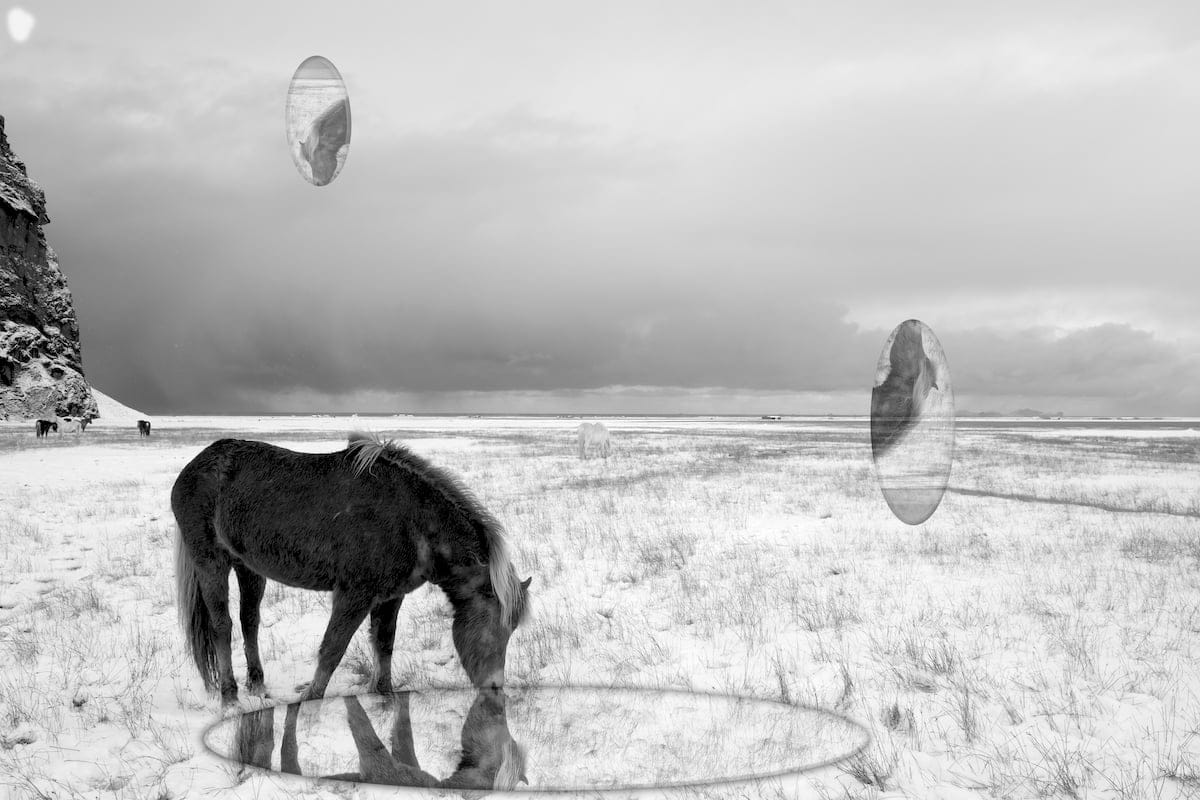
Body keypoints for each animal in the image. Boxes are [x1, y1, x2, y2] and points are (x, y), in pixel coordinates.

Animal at [171, 432, 532, 706]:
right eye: (495, 627)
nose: (495, 688)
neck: (412, 520)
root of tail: (195, 466)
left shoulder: (391, 597)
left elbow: (384, 643)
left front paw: (385, 695)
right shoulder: (354, 595)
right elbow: (333, 648)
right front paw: (311, 700)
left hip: (249, 568)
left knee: (250, 623)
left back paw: (257, 685)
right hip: (210, 562)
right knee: (222, 626)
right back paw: (229, 696)